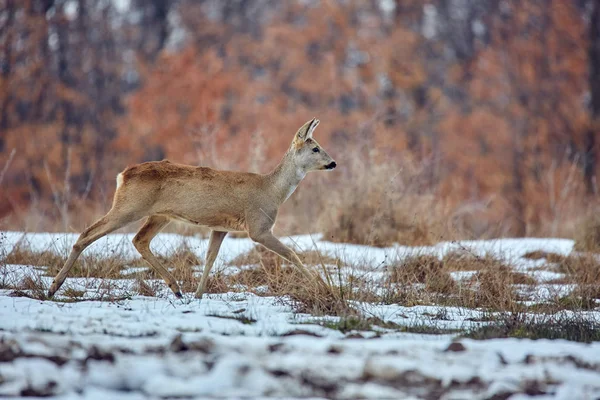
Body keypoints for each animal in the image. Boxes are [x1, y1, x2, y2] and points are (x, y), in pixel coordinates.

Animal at [46, 119, 336, 300]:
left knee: (139, 240)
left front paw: (198, 294)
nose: (333, 163)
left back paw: (176, 289)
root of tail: (123, 175)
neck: (272, 190)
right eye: (315, 148)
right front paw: (322, 286)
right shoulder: (258, 226)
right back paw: (53, 287)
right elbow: (292, 254)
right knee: (88, 233)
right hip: (129, 206)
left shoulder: (220, 227)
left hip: (158, 214)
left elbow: (210, 258)